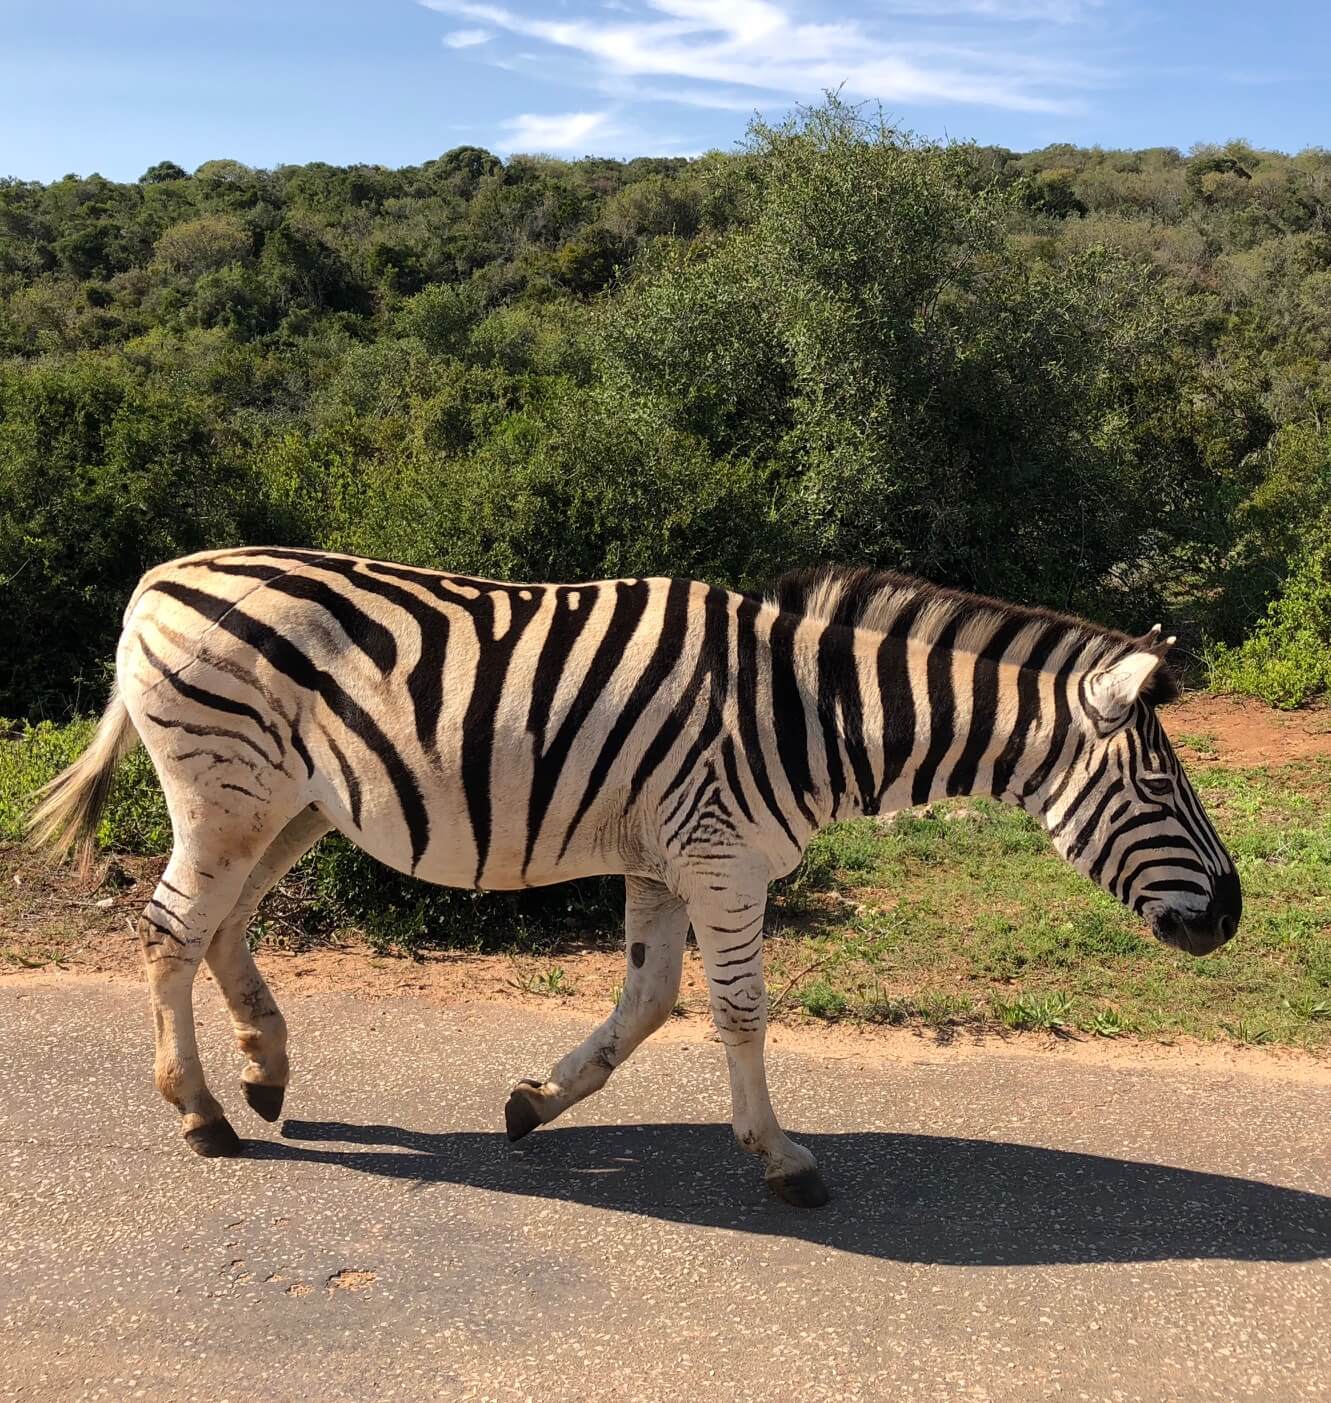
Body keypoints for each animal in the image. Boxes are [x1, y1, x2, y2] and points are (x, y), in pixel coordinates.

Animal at [28, 547, 1234, 1206]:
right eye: (1159, 789)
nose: (1228, 917)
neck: (814, 713)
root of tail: (162, 576)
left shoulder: (669, 859)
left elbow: (650, 1002)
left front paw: (533, 1101)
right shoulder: (721, 855)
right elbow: (738, 1011)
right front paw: (782, 1158)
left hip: (289, 802)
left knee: (224, 925)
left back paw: (266, 1072)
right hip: (227, 790)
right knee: (172, 930)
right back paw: (201, 1113)